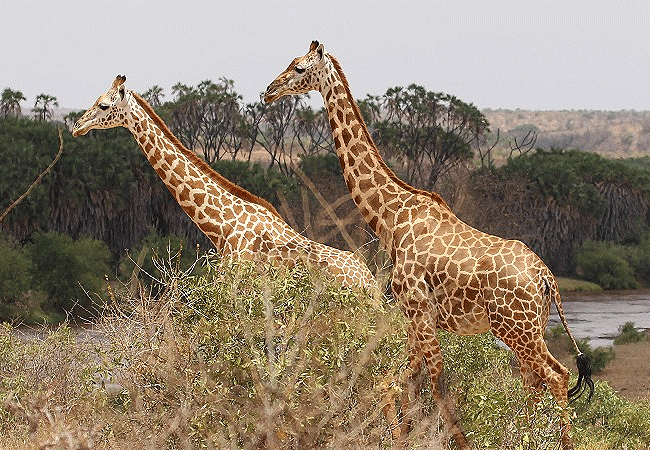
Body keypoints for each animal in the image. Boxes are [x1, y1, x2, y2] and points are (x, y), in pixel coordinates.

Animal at [263, 41, 593, 449]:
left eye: (298, 68)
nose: (268, 91)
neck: (391, 218)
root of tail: (547, 278)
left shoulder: (419, 311)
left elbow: (434, 386)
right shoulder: (412, 317)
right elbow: (400, 385)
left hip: (515, 329)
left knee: (555, 376)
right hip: (530, 327)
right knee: (535, 381)